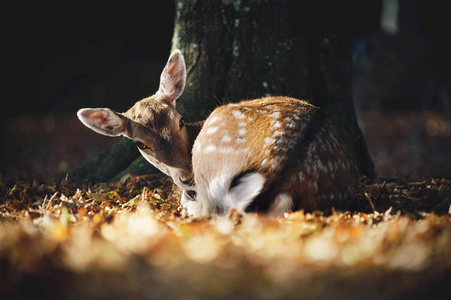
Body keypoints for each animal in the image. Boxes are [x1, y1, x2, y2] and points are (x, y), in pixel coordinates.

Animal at [78, 49, 360, 218]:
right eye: (140, 144)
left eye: (180, 121)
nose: (187, 177)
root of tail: (276, 171)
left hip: (213, 141)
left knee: (209, 208)